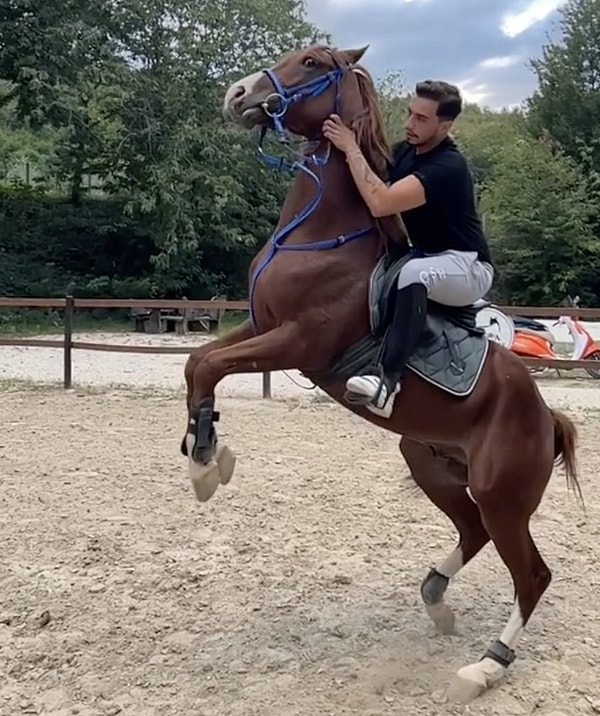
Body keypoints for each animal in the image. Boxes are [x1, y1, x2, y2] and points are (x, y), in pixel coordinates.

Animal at [182, 46, 580, 704]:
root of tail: (545, 413)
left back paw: (485, 666)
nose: (237, 94)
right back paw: (437, 598)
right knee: (473, 533)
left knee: (533, 574)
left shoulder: (296, 342)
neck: (319, 235)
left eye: (310, 62)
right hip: (430, 464)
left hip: (503, 496)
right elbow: (198, 365)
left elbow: (210, 365)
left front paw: (207, 466)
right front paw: (204, 455)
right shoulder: (261, 327)